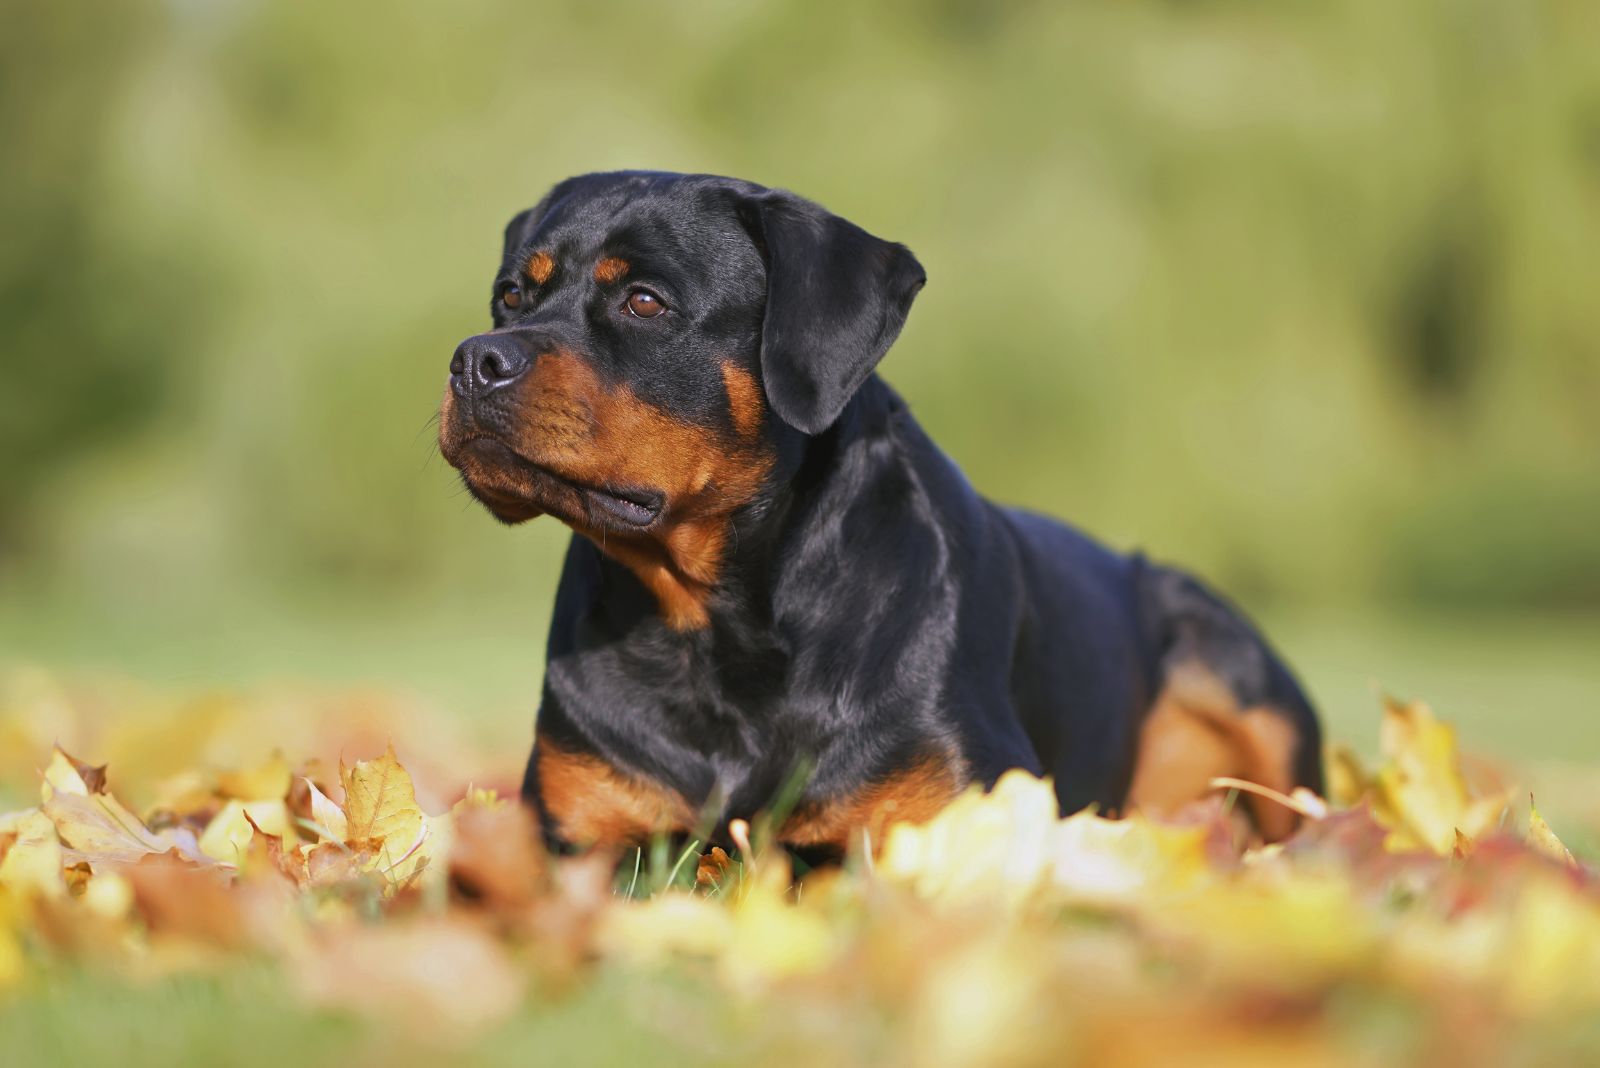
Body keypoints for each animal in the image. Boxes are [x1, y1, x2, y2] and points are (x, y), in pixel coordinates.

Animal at [438, 171, 1324, 856]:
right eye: (510, 294)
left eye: (645, 302)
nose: (476, 359)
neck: (711, 627)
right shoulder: (571, 832)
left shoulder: (965, 806)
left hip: (1233, 666)